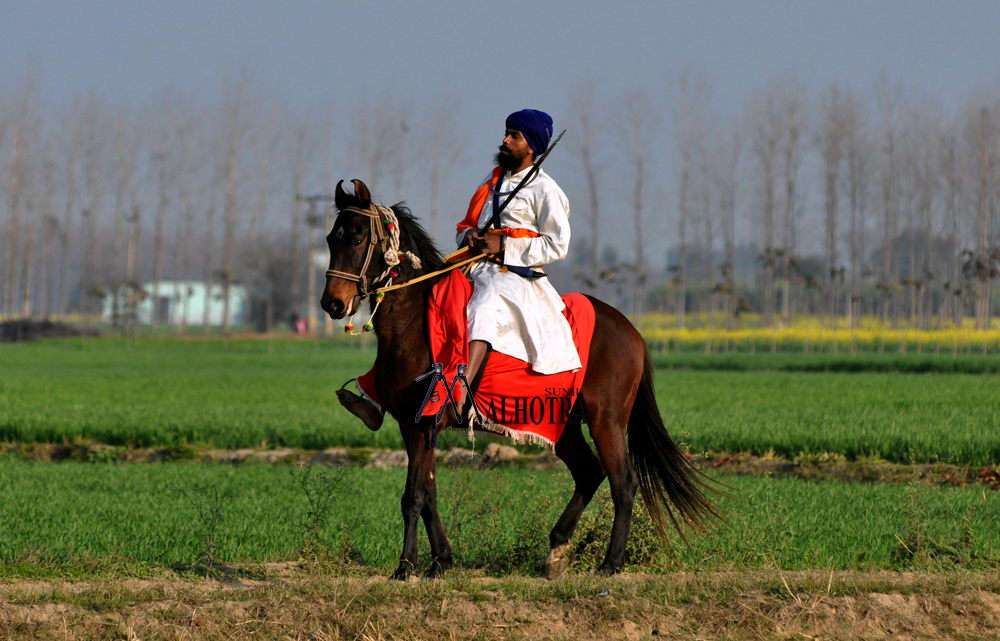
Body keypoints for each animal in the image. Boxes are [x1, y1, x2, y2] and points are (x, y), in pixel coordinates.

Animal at [320, 180, 712, 580]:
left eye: (357, 240)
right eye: (331, 240)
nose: (331, 303)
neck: (415, 325)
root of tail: (632, 332)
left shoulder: (422, 424)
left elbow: (413, 496)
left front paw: (405, 566)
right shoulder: (410, 425)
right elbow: (429, 495)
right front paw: (441, 560)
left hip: (607, 419)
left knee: (624, 482)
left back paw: (611, 562)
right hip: (562, 424)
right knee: (590, 472)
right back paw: (557, 548)